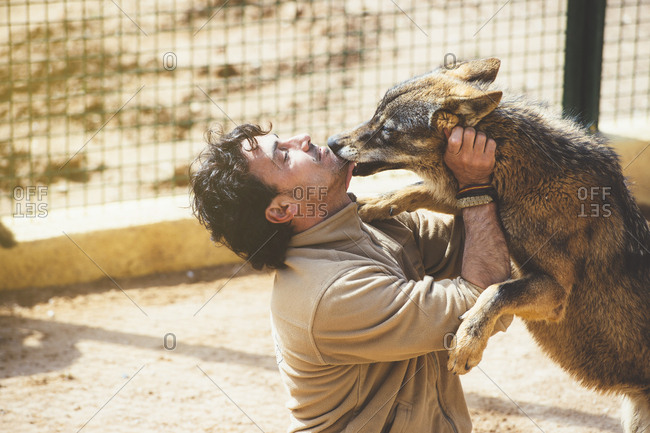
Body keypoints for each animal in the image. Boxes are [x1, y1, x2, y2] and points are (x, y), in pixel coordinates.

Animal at [327, 58, 650, 432]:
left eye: (387, 131)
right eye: (374, 115)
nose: (331, 142)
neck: (525, 172)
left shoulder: (555, 294)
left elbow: (496, 291)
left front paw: (467, 345)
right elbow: (417, 188)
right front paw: (371, 205)